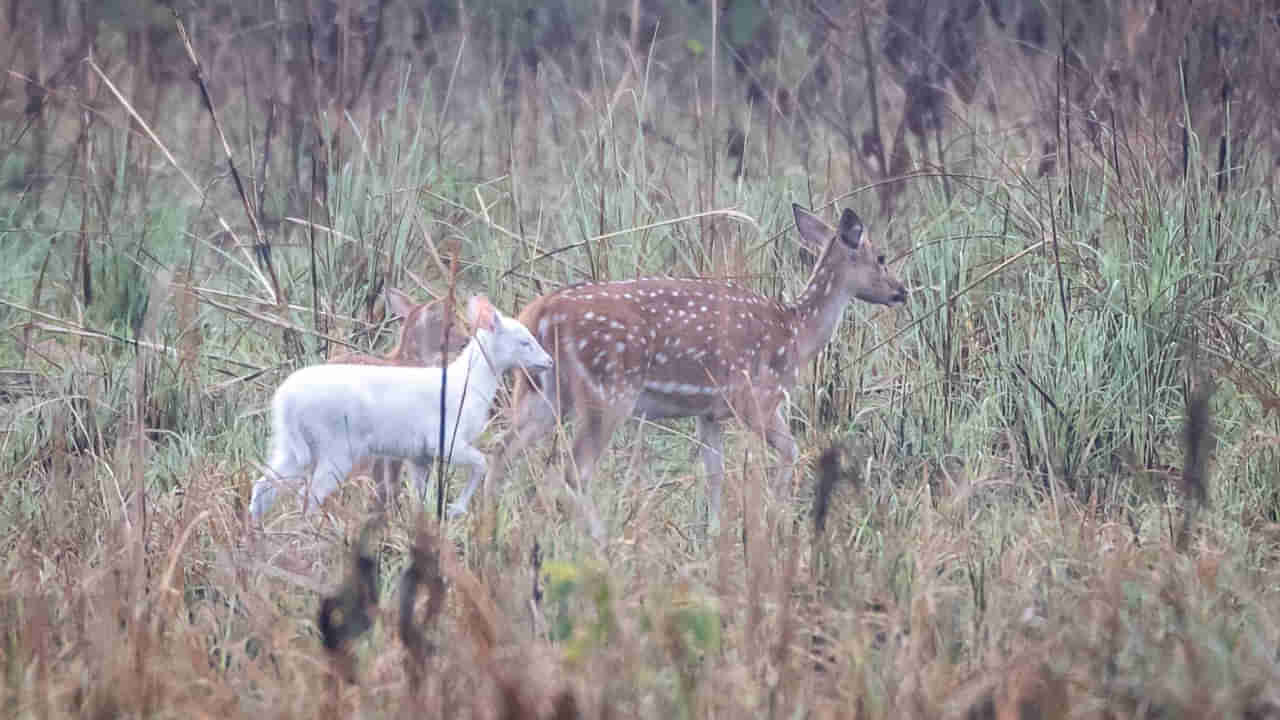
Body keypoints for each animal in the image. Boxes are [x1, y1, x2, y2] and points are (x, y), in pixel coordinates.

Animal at [481, 204, 911, 525]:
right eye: (880, 257)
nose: (901, 291)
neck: (795, 332)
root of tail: (541, 312)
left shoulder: (708, 412)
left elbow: (713, 473)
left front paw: (713, 533)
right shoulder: (755, 397)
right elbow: (790, 449)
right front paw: (775, 517)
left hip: (541, 391)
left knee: (501, 451)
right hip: (608, 391)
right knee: (574, 471)